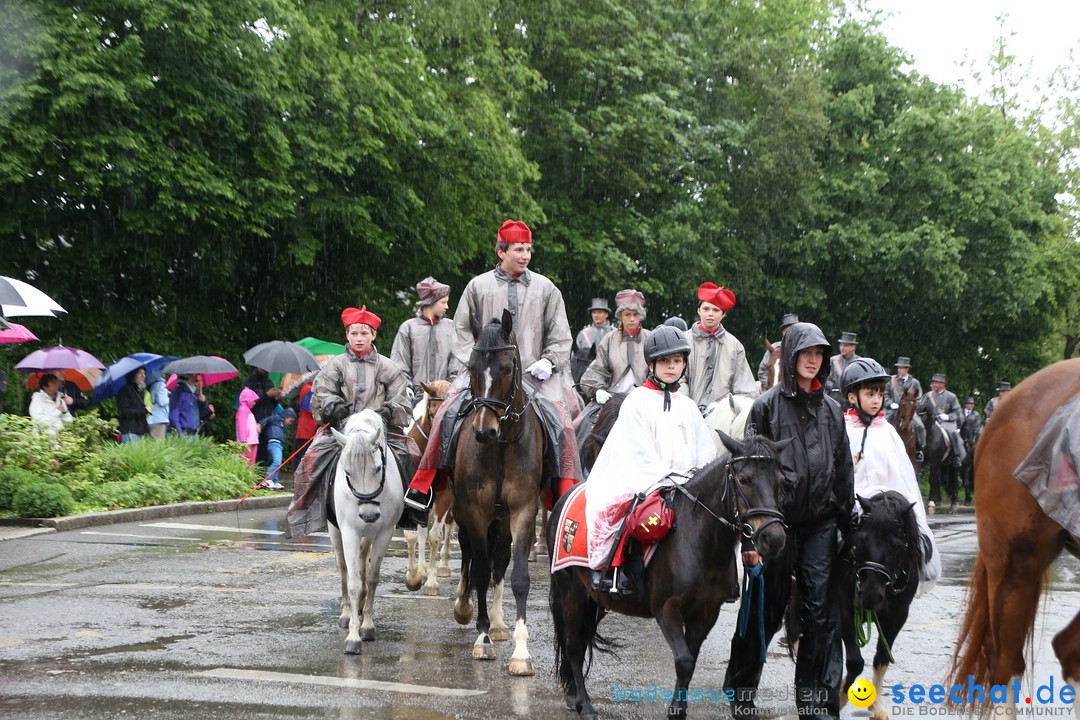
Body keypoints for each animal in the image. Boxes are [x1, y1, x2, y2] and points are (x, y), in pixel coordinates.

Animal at [328, 410, 406, 651]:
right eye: (347, 471)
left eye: (378, 468)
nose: (369, 515)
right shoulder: (349, 532)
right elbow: (353, 581)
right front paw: (353, 637)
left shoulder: (384, 532)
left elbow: (371, 578)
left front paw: (368, 626)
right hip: (335, 532)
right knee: (343, 569)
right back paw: (347, 613)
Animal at [449, 310, 544, 677]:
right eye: (471, 367)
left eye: (506, 367)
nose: (483, 431)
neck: (502, 446)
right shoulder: (474, 512)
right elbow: (478, 570)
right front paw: (483, 638)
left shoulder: (524, 511)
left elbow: (517, 577)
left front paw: (521, 652)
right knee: (471, 557)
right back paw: (465, 607)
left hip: (502, 521)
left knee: (499, 561)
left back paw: (501, 624)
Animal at [833, 492, 920, 720]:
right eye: (860, 539)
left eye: (898, 545)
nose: (870, 596)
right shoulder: (844, 608)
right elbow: (855, 661)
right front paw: (840, 697)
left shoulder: (897, 617)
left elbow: (881, 659)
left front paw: (877, 707)